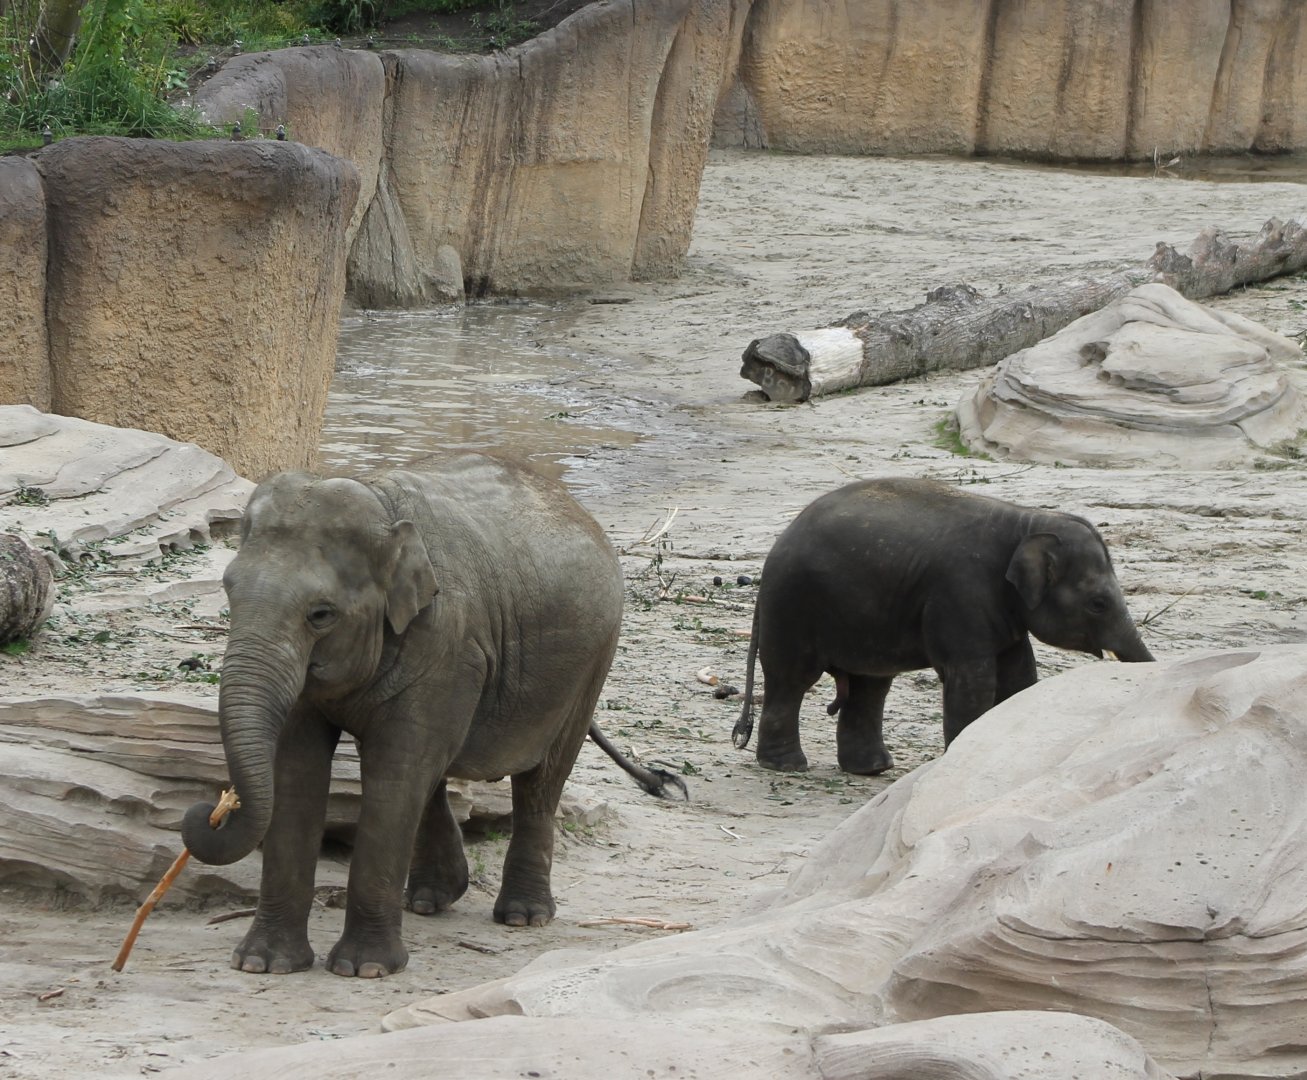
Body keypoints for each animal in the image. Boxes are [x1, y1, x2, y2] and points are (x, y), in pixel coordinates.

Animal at [181, 453, 684, 979]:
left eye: (321, 615)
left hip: (592, 662)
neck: (380, 504)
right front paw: (263, 963)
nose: (208, 815)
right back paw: (428, 900)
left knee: (540, 779)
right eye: (228, 591)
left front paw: (365, 970)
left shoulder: (447, 642)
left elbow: (395, 772)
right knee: (435, 773)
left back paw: (523, 916)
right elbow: (298, 770)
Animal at [732, 477, 1155, 774]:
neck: (1025, 521)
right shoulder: (960, 593)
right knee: (792, 679)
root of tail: (775, 549)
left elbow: (1019, 677)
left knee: (869, 686)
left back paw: (872, 769)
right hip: (792, 606)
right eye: (1098, 604)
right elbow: (973, 681)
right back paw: (787, 766)